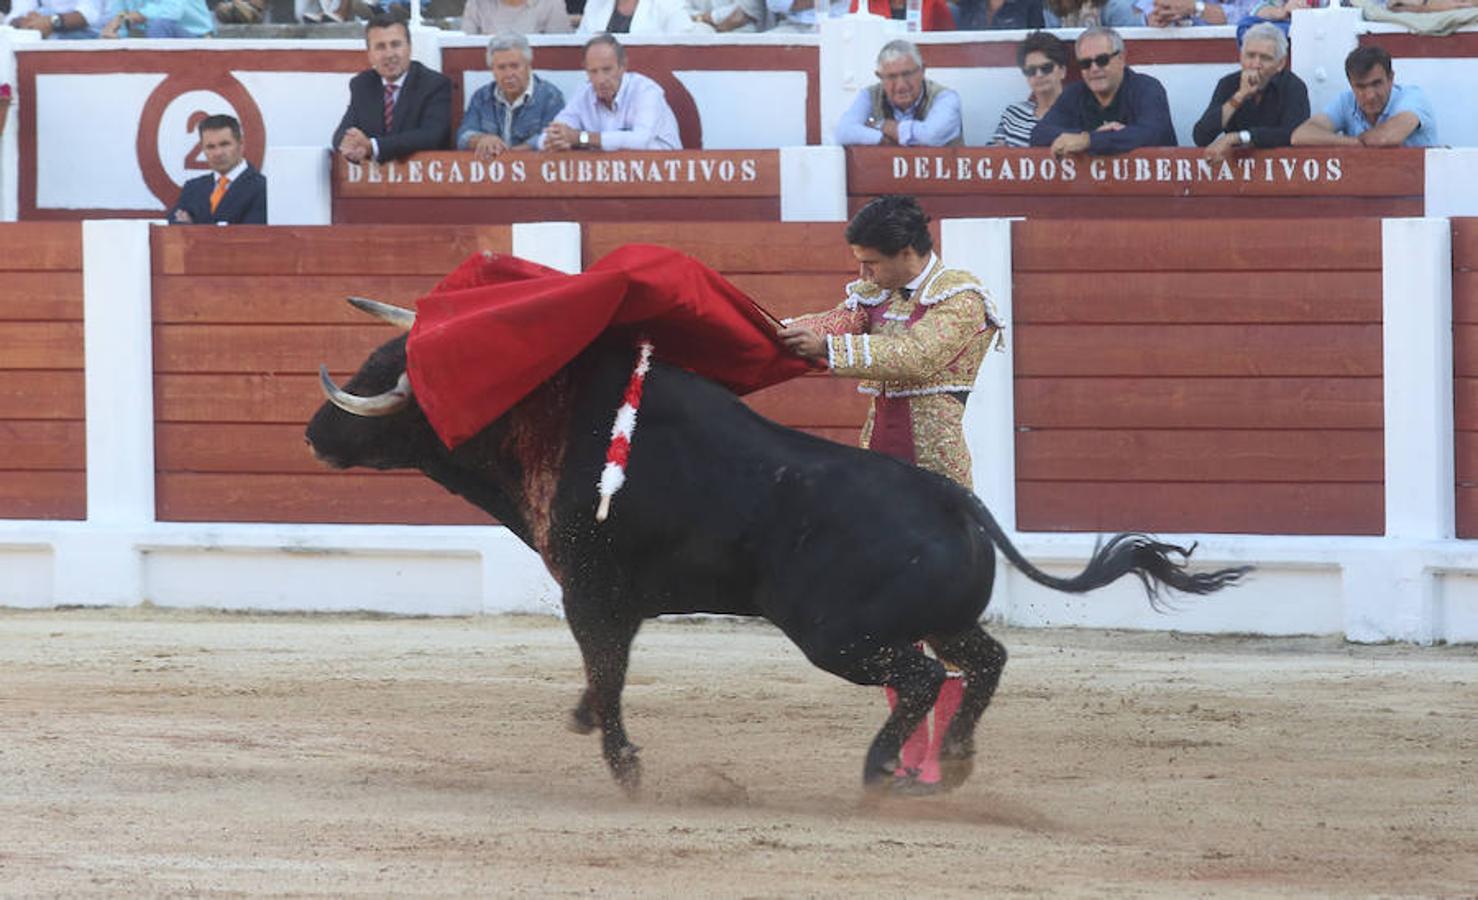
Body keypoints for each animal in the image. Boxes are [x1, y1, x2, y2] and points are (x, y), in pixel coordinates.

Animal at [308, 300, 1247, 792]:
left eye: (379, 376)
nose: (316, 431)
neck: (554, 418)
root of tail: (955, 500)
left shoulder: (591, 589)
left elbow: (606, 669)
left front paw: (624, 766)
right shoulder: (618, 600)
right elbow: (605, 671)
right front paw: (588, 724)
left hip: (837, 636)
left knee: (921, 678)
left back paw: (881, 770)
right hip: (938, 619)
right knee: (982, 662)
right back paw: (954, 762)